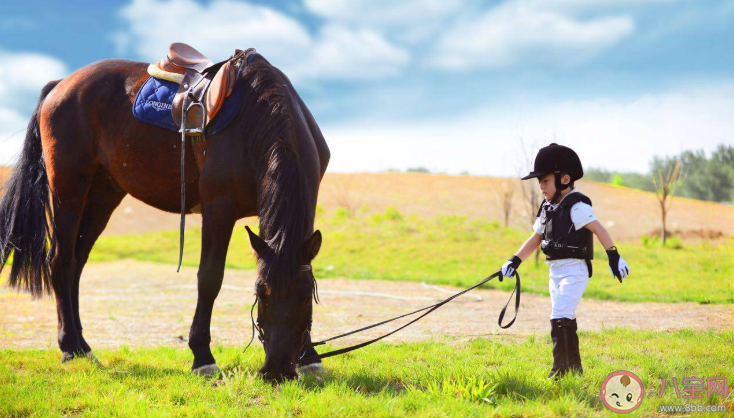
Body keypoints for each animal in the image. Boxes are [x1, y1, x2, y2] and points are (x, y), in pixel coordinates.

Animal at [0, 49, 330, 382]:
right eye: (260, 293)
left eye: (306, 296)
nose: (278, 370)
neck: (259, 116)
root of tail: (60, 84)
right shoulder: (218, 208)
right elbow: (209, 278)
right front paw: (202, 356)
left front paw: (310, 357)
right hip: (69, 186)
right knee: (61, 260)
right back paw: (68, 346)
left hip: (103, 193)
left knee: (77, 264)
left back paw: (82, 346)